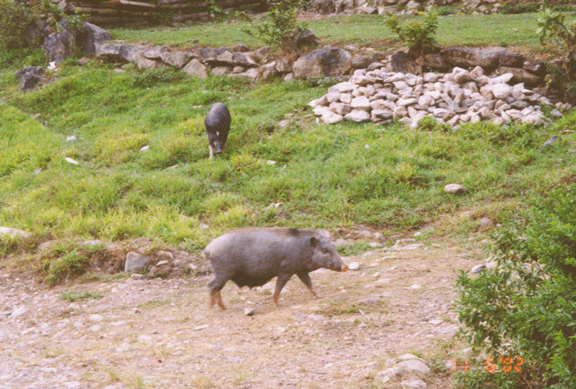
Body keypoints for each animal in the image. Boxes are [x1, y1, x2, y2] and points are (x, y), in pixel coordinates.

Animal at [204, 227, 346, 310]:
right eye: (324, 250)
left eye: (334, 246)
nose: (345, 266)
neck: (303, 248)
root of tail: (208, 249)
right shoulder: (286, 269)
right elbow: (279, 285)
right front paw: (278, 304)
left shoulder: (300, 271)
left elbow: (309, 283)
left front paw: (319, 296)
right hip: (223, 272)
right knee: (211, 285)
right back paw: (212, 307)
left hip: (223, 273)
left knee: (216, 288)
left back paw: (223, 307)